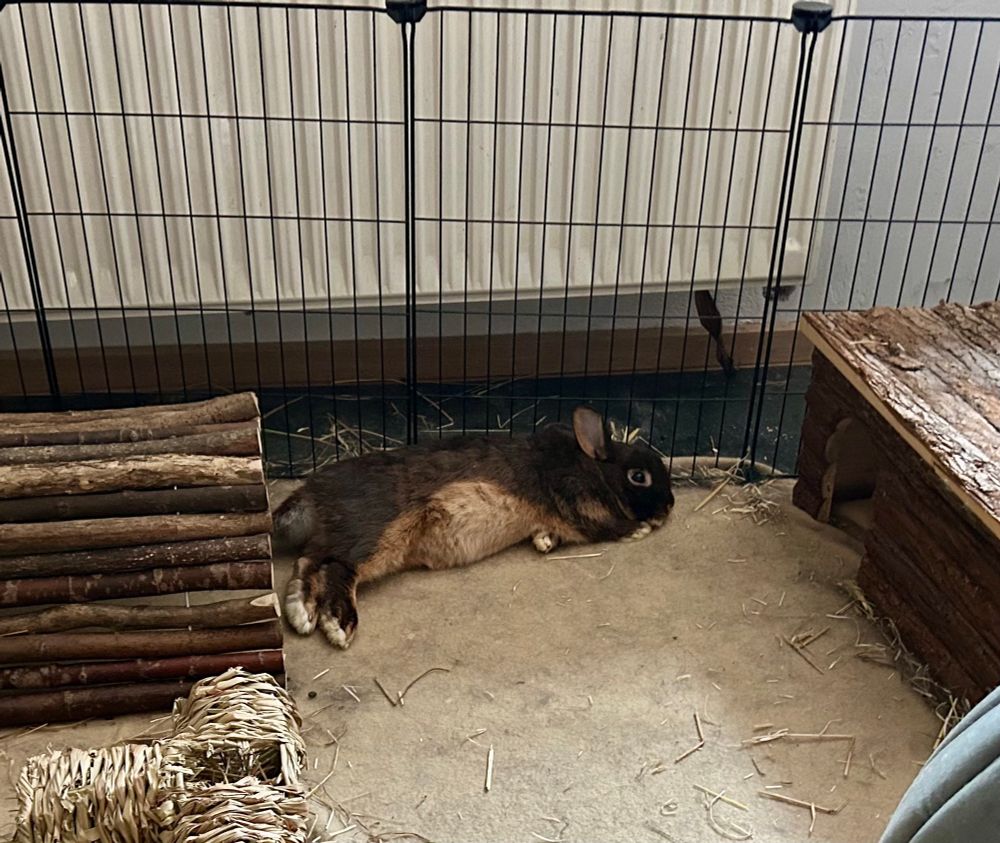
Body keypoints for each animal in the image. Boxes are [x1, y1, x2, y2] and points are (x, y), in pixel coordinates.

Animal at [274, 405, 674, 648]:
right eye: (639, 477)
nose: (670, 505)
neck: (592, 466)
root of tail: (311, 494)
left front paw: (544, 542)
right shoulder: (580, 506)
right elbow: (607, 527)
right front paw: (639, 529)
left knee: (308, 563)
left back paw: (301, 613)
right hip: (376, 533)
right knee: (337, 569)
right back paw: (338, 624)